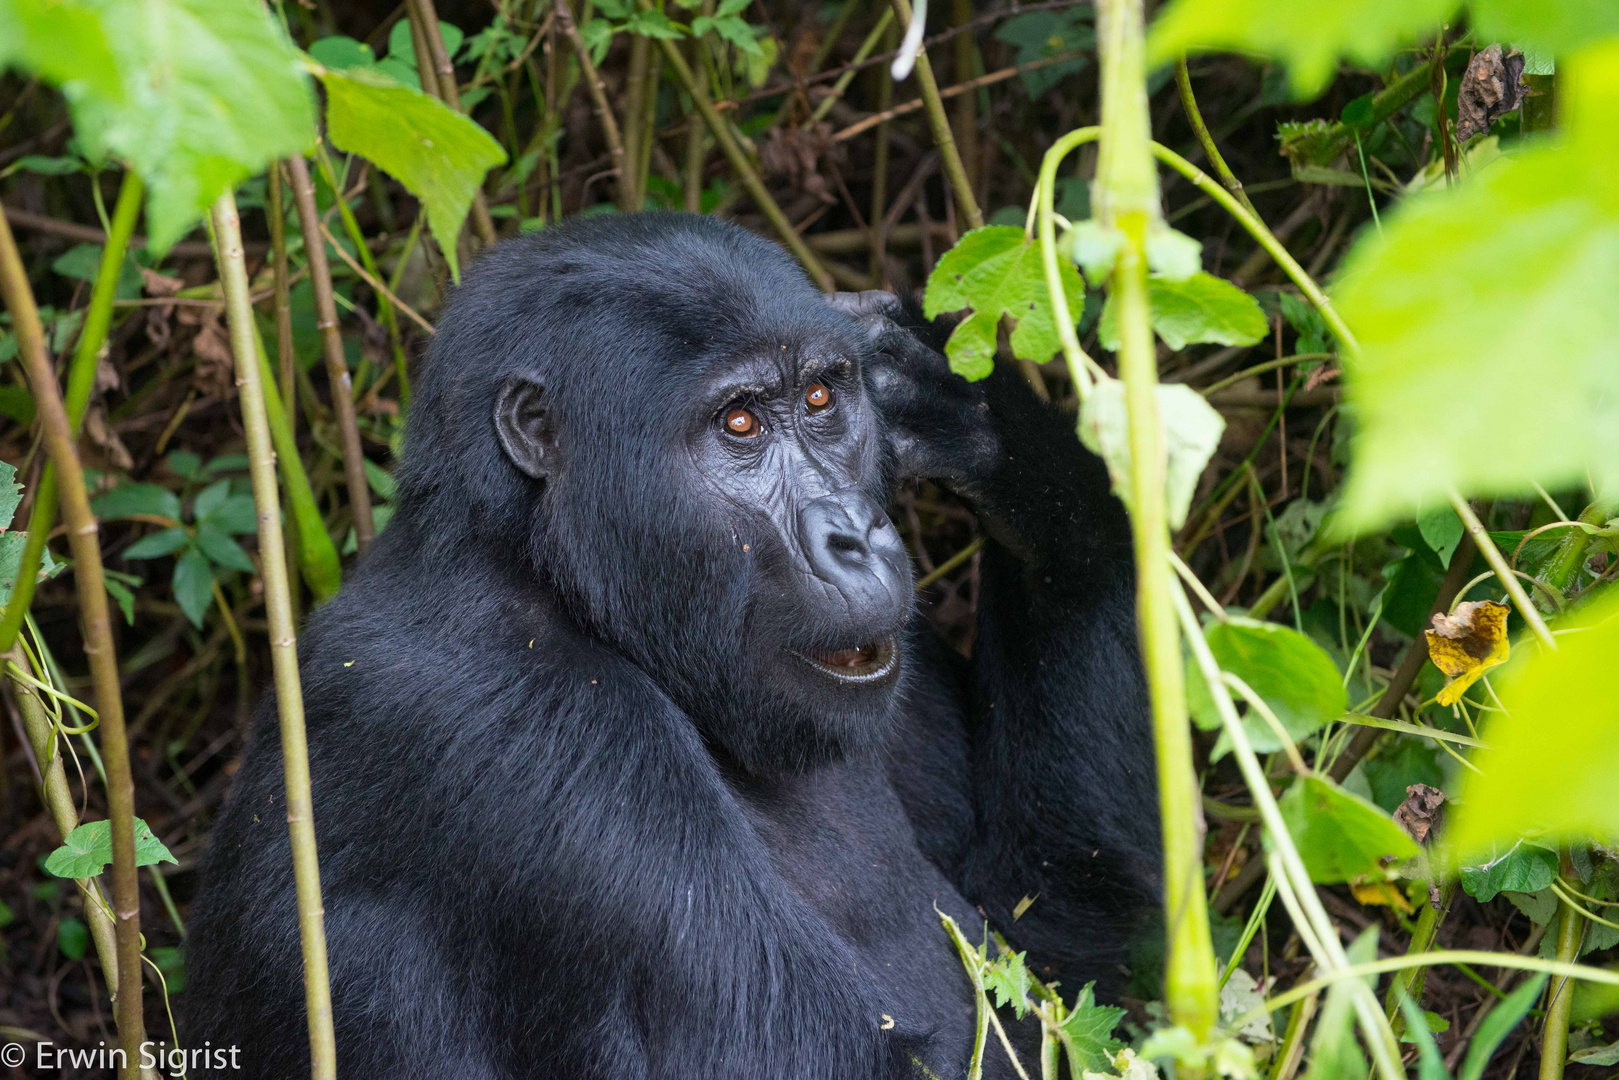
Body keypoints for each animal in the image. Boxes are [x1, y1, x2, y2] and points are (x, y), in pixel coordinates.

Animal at [183, 213, 1159, 1080]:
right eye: (739, 426)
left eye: (820, 400)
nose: (854, 536)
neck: (539, 564)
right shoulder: (530, 729)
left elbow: (1066, 955)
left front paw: (995, 432)